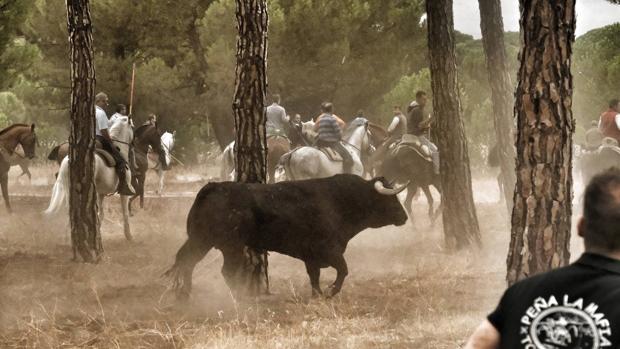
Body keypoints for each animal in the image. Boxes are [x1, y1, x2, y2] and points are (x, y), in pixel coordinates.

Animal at [165, 173, 410, 298]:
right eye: (391, 198)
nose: (404, 217)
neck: (340, 200)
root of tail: (213, 187)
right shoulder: (329, 250)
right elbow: (343, 270)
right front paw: (330, 291)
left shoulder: (312, 257)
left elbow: (314, 277)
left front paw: (317, 295)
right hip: (230, 247)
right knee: (226, 272)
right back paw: (240, 298)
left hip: (200, 241)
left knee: (187, 262)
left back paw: (186, 293)